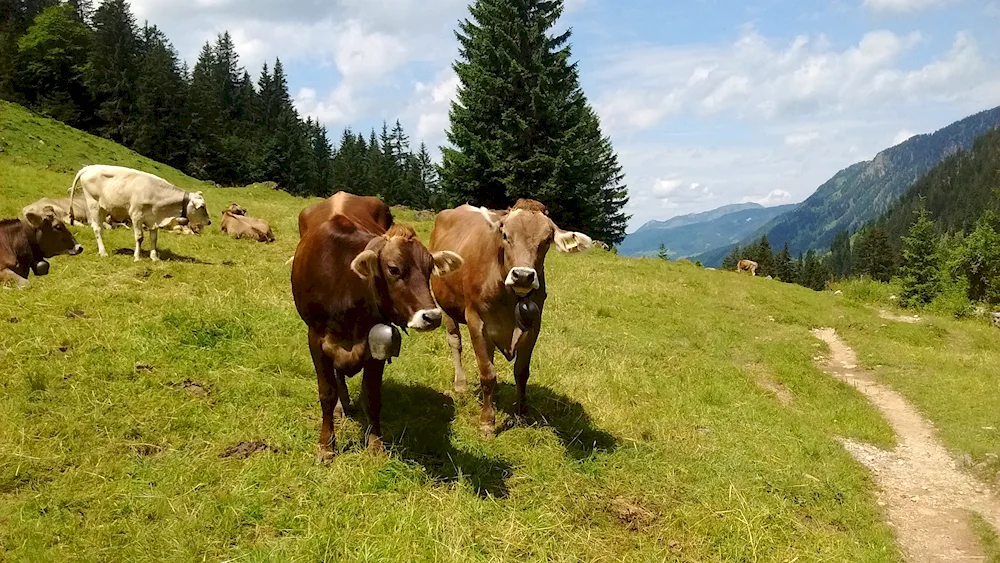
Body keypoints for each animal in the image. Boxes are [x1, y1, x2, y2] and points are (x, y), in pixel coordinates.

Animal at [70, 163, 213, 260]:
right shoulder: (136, 216)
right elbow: (139, 237)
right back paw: (103, 252)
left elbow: (154, 238)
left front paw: (154, 257)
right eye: (202, 207)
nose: (209, 221)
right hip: (93, 203)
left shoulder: (153, 218)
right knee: (96, 228)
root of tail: (89, 167)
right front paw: (137, 257)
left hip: (104, 207)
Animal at [290, 203, 460, 458]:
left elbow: (371, 398)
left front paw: (375, 445)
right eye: (394, 269)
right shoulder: (316, 340)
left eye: (430, 268)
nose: (432, 316)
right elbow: (327, 394)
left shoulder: (376, 343)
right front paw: (326, 445)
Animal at [432, 200, 592, 438]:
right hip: (446, 305)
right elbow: (487, 374)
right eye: (505, 234)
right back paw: (460, 385)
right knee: (455, 342)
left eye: (547, 240)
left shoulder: (534, 325)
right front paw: (487, 423)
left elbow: (522, 372)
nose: (523, 276)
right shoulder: (476, 320)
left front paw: (522, 414)